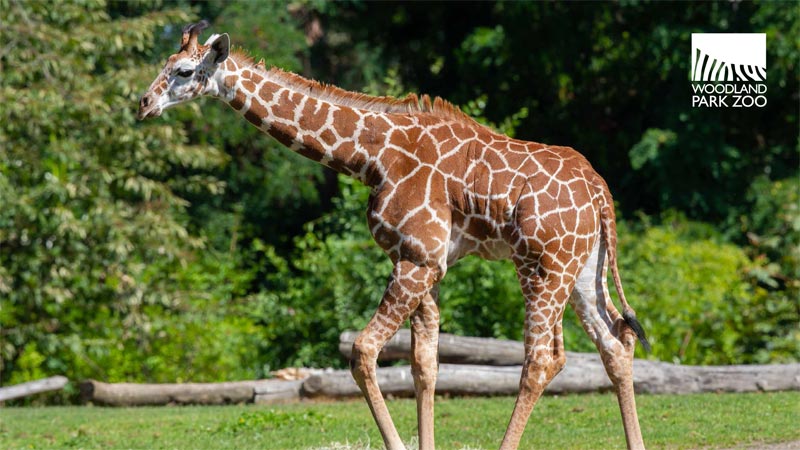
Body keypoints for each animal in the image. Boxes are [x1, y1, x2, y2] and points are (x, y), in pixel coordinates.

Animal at [137, 21, 651, 450]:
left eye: (183, 70)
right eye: (162, 65)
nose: (143, 104)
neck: (370, 157)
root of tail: (599, 191)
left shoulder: (419, 259)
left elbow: (364, 351)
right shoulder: (420, 260)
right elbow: (424, 364)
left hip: (542, 266)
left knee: (544, 358)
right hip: (581, 268)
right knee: (616, 341)